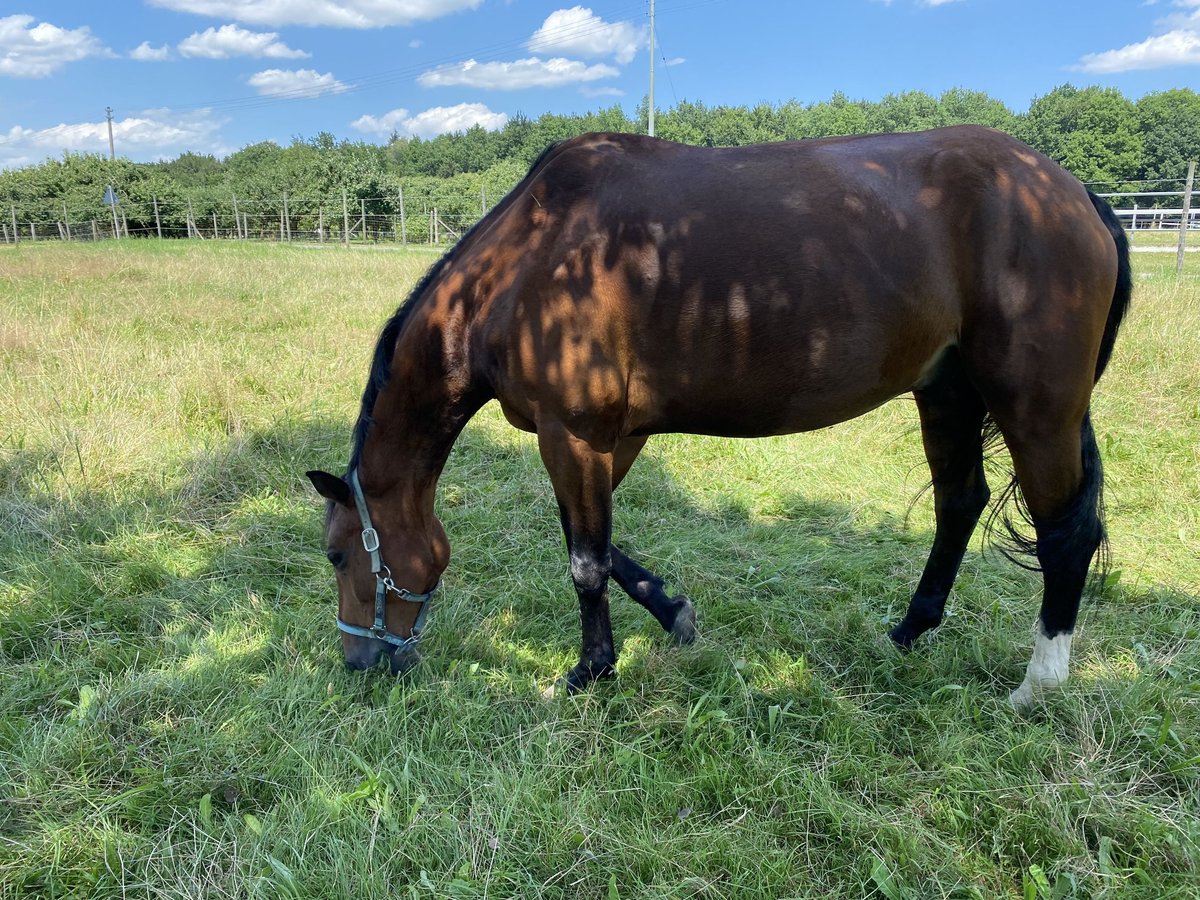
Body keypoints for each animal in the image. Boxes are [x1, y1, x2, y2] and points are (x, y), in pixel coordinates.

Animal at [304, 127, 1128, 710]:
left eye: (339, 556)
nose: (360, 661)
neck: (530, 261)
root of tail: (1072, 191)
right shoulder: (612, 439)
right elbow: (601, 547)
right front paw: (675, 615)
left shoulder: (574, 435)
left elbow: (584, 561)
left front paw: (589, 671)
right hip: (947, 392)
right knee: (960, 505)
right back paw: (906, 633)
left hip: (1036, 407)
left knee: (1066, 534)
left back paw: (1038, 683)